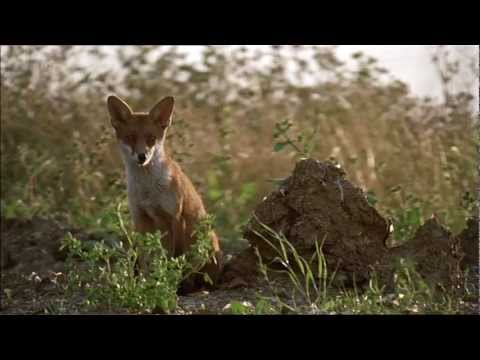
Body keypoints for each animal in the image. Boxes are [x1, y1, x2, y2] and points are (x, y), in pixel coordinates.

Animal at [108, 95, 222, 292]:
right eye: (130, 137)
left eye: (151, 138)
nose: (142, 157)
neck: (149, 191)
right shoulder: (141, 218)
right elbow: (145, 259)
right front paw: (146, 284)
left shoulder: (175, 217)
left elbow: (175, 256)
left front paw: (172, 285)